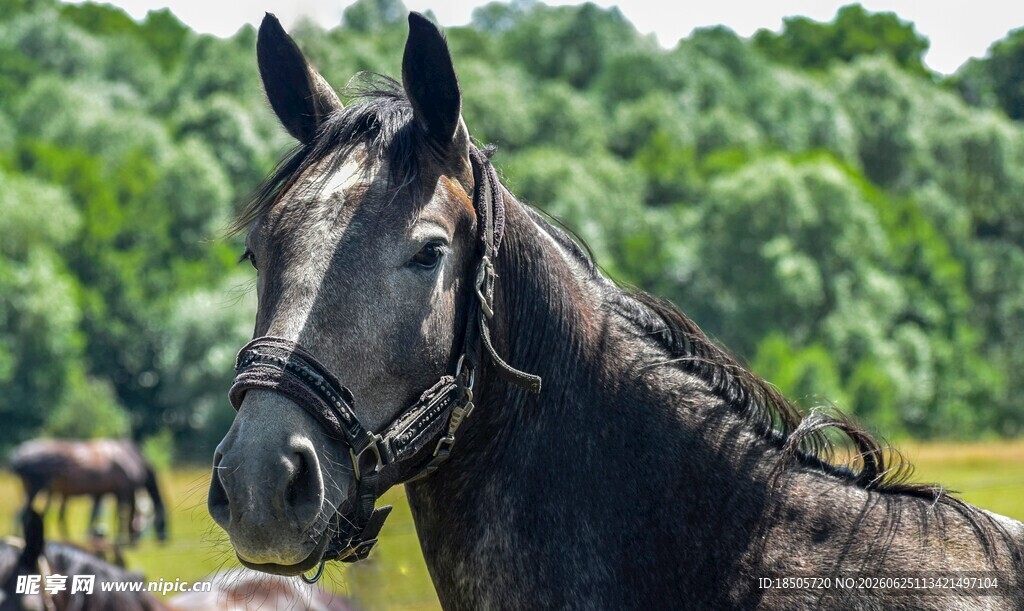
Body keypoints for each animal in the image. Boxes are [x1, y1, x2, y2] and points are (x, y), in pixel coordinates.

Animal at [8, 440, 167, 546]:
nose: (164, 540)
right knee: (22, 513)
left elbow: (94, 515)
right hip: (36, 489)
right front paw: (122, 539)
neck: (131, 458)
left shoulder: (101, 493)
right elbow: (123, 514)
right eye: (163, 522)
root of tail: (19, 457)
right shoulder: (124, 490)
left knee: (22, 513)